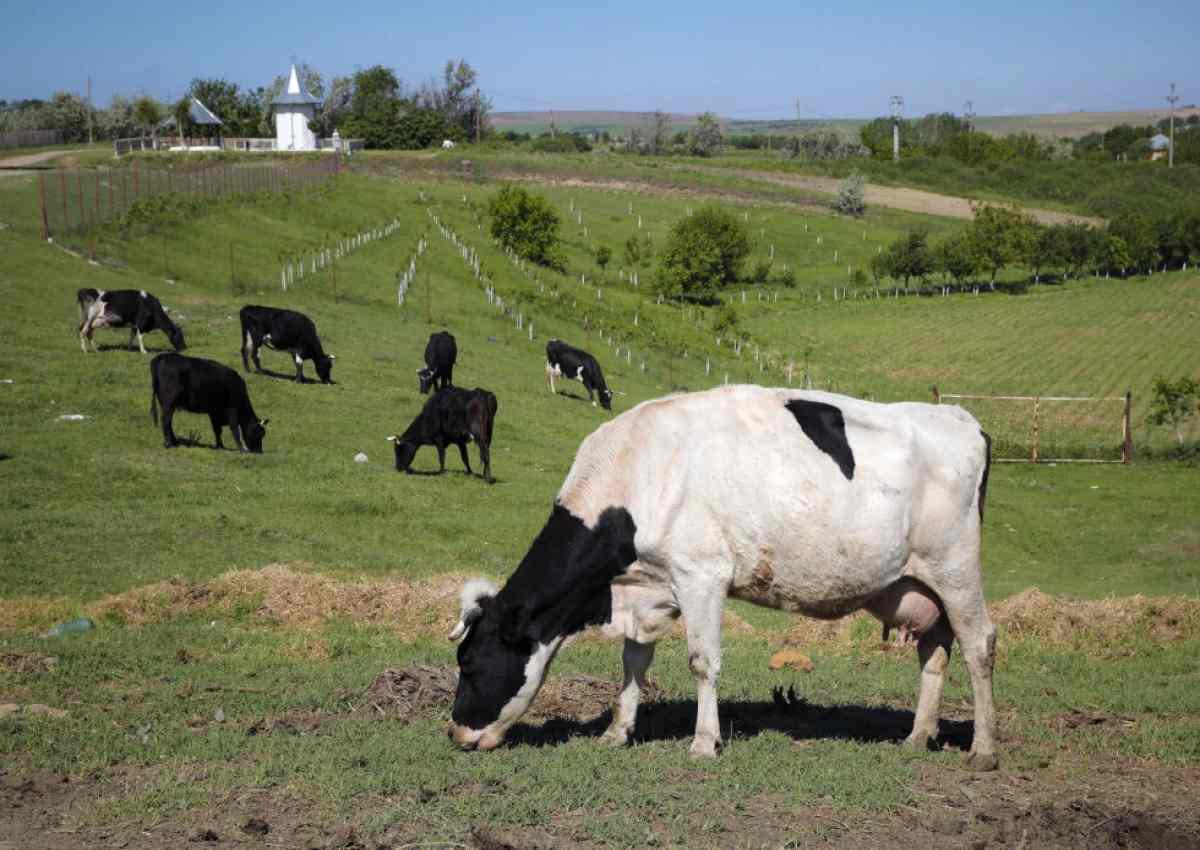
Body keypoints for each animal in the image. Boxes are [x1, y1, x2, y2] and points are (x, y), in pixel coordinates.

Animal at [446, 388, 998, 773]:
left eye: (469, 663)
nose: (454, 735)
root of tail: (961, 418)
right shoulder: (648, 587)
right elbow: (633, 661)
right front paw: (618, 730)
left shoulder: (702, 574)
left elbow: (702, 662)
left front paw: (703, 742)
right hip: (922, 586)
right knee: (935, 654)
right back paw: (918, 736)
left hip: (956, 568)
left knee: (979, 646)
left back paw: (984, 750)